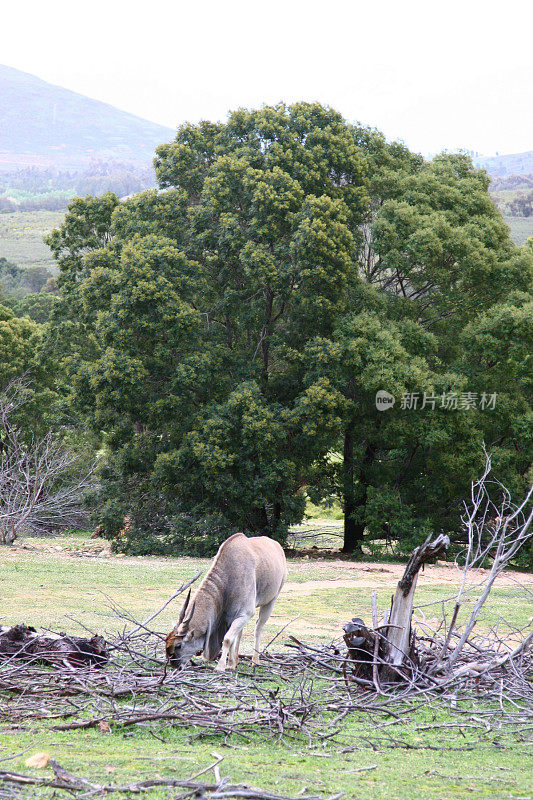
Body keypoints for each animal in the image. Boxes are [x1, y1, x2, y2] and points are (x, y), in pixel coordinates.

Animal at [165, 536, 286, 672]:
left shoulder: (245, 613)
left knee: (258, 628)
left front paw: (220, 666)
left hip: (271, 600)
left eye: (178, 645)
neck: (229, 576)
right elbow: (232, 638)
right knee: (240, 633)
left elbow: (227, 639)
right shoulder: (231, 617)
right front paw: (230, 664)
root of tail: (276, 545)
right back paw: (236, 661)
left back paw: (255, 661)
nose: (174, 665)